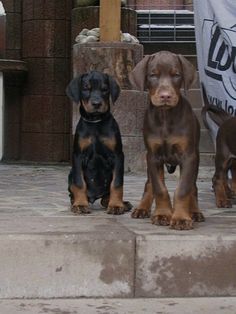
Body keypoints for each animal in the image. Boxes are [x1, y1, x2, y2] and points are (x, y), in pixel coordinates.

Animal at [66, 70, 131, 215]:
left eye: (105, 89)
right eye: (86, 88)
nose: (96, 104)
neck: (95, 122)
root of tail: (94, 196)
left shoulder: (117, 155)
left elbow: (117, 183)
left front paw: (116, 205)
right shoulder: (78, 155)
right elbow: (79, 183)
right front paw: (80, 204)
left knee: (106, 197)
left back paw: (120, 203)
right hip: (70, 173)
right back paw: (75, 201)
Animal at [129, 51, 205, 231]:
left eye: (176, 75)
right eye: (153, 75)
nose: (165, 96)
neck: (165, 116)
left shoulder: (188, 156)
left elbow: (183, 189)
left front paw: (181, 218)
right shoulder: (153, 156)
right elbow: (159, 188)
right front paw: (163, 214)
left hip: (196, 157)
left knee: (193, 187)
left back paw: (195, 212)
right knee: (149, 183)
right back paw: (142, 208)